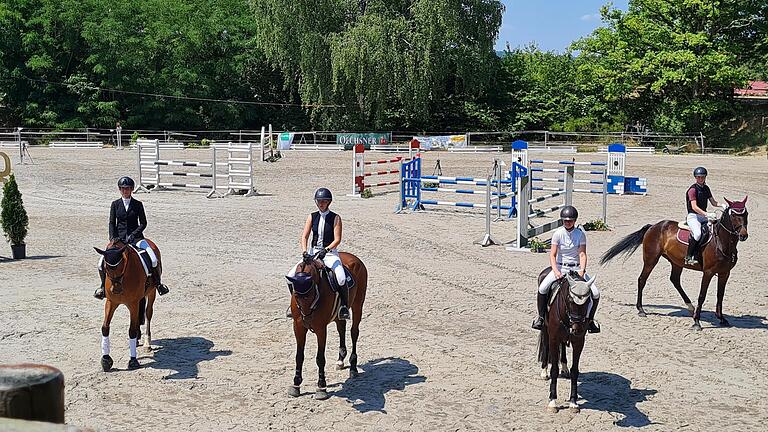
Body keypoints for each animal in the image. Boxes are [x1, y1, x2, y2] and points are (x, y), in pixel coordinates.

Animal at [93, 238, 159, 370]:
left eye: (123, 264)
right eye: (106, 268)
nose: (116, 289)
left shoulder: (133, 303)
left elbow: (132, 330)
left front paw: (133, 360)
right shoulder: (111, 302)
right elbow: (105, 327)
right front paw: (106, 359)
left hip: (152, 292)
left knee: (148, 314)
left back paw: (147, 343)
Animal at [284, 251, 368, 400]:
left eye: (312, 294)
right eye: (296, 296)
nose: (307, 319)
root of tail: (353, 257)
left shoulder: (320, 328)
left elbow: (320, 358)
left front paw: (321, 387)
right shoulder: (298, 326)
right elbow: (299, 356)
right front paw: (296, 384)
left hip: (358, 304)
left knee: (354, 332)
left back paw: (353, 367)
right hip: (338, 314)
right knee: (341, 328)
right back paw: (340, 360)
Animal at [536, 268, 596, 414]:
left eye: (588, 301)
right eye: (569, 300)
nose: (577, 329)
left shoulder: (579, 341)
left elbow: (575, 370)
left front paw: (573, 402)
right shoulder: (553, 338)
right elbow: (554, 370)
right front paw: (552, 402)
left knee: (563, 346)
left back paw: (564, 368)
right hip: (546, 329)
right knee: (546, 347)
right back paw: (544, 371)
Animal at [600, 197, 752, 332]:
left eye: (745, 214)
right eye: (733, 215)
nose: (743, 235)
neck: (721, 242)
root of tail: (653, 226)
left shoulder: (725, 273)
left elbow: (720, 295)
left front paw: (721, 319)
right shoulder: (708, 272)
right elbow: (702, 295)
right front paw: (697, 322)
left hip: (676, 262)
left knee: (674, 280)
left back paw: (690, 307)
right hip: (651, 259)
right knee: (642, 279)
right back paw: (641, 309)